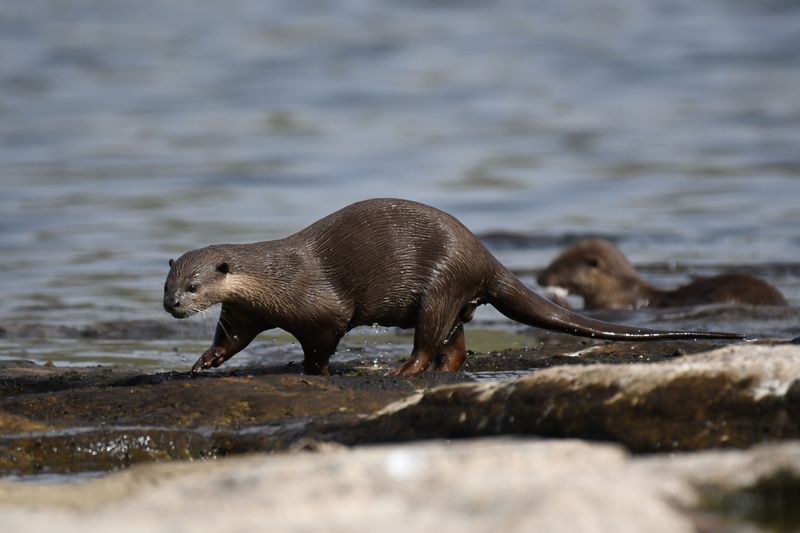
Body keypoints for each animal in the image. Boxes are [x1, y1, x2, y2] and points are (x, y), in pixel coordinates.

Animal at [164, 199, 743, 376]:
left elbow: (322, 343)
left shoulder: (321, 308)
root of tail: (482, 255)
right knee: (456, 338)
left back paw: (406, 369)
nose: (172, 307)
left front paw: (313, 372)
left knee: (430, 335)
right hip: (455, 292)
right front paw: (202, 363)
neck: (275, 277)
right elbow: (231, 339)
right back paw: (445, 367)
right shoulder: (244, 312)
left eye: (193, 284)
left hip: (442, 281)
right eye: (167, 286)